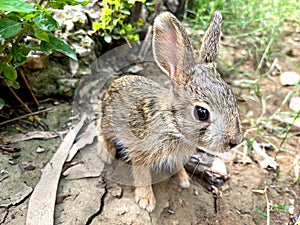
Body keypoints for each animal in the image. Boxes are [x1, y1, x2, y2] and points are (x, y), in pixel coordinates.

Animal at [98, 11, 244, 213]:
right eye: (201, 113)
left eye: (232, 97)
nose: (235, 141)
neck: (173, 124)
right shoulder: (140, 151)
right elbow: (142, 174)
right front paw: (146, 201)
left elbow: (177, 166)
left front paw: (184, 180)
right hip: (109, 124)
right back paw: (106, 153)